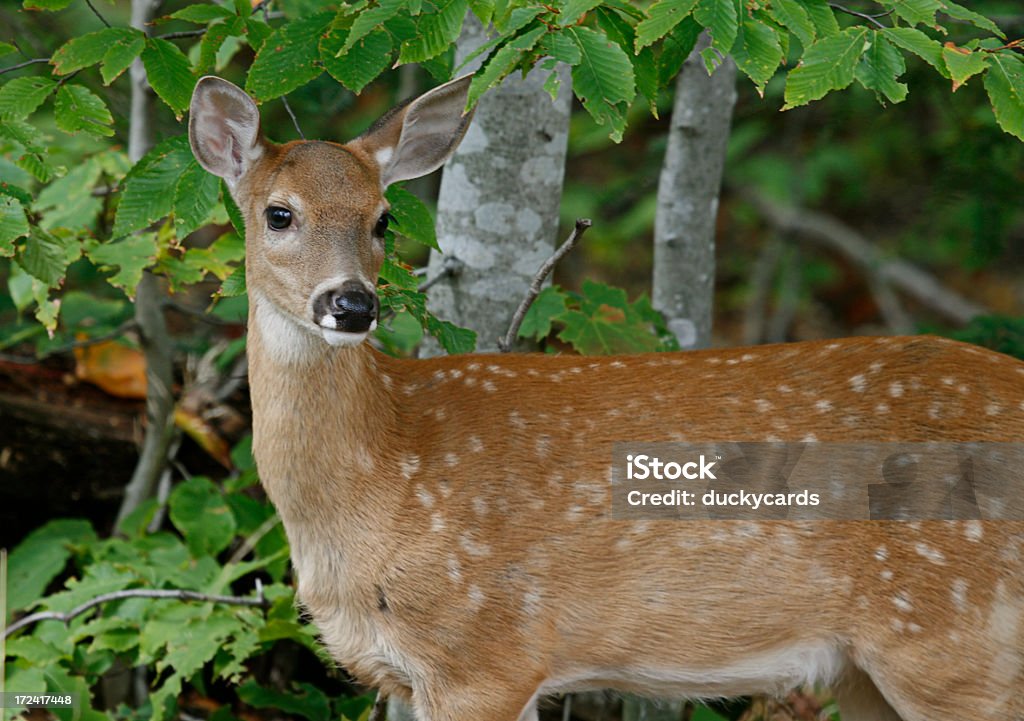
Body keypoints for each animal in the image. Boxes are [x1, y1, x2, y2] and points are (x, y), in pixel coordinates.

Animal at [186, 74, 1024, 721]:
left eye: (382, 219)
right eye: (279, 213)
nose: (352, 304)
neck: (384, 475)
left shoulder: (486, 651)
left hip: (953, 642)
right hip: (872, 673)